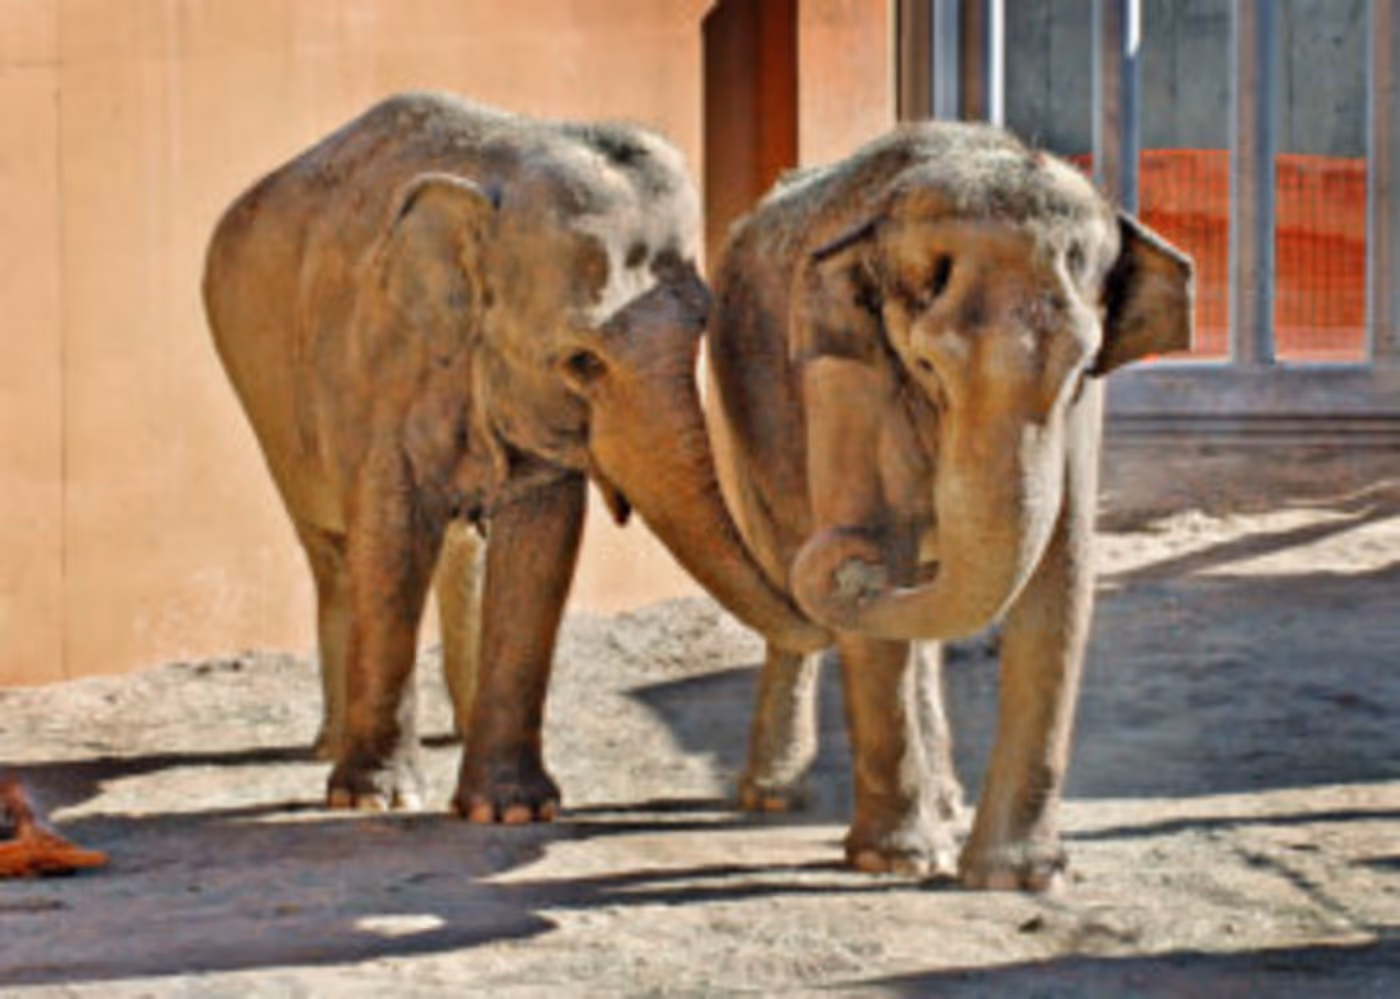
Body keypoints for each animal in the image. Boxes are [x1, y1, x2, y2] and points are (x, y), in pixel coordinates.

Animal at [203, 92, 825, 817]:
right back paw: (330, 747)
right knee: (330, 549)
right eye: (582, 361)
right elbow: (389, 536)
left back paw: (456, 729)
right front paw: (375, 801)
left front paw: (511, 809)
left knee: (456, 549)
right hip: (261, 388)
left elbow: (541, 536)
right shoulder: (379, 364)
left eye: (703, 322)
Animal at [707, 121, 1193, 888]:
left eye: (1080, 369)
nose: (850, 566)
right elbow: (883, 562)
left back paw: (945, 798)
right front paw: (896, 860)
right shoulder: (847, 372)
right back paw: (775, 795)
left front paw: (1021, 877)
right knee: (786, 579)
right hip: (740, 405)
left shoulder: (1079, 415)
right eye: (928, 366)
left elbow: (1062, 576)